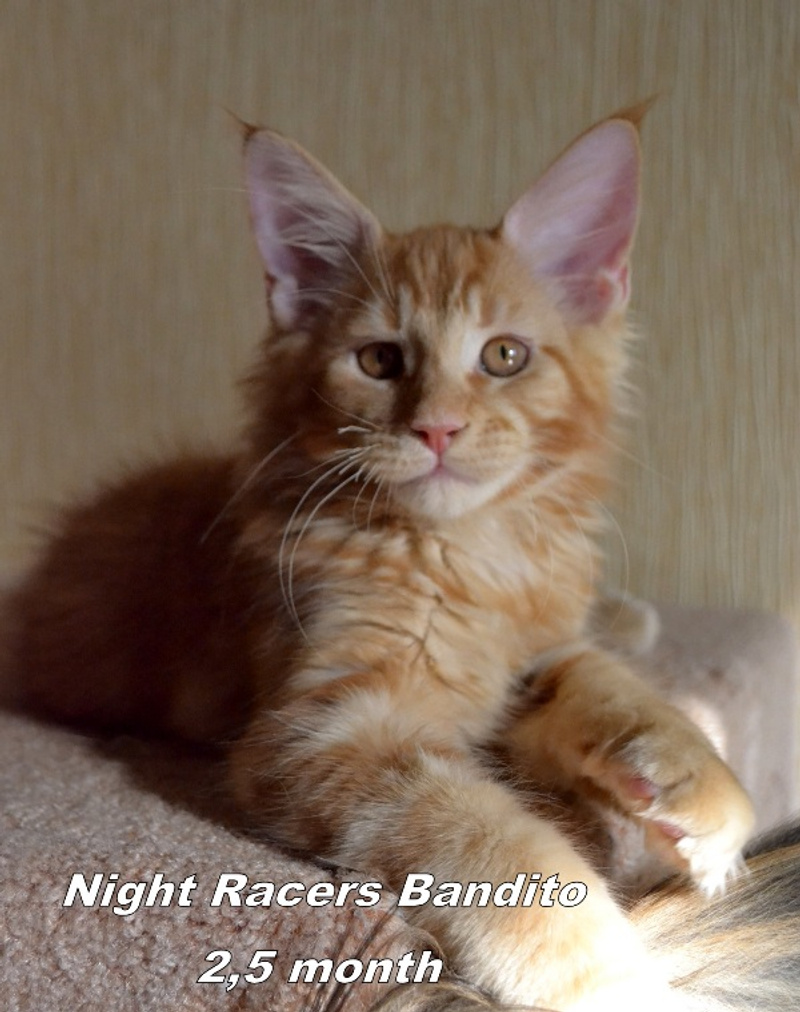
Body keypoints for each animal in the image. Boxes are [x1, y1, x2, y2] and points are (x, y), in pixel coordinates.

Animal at [2, 106, 795, 1012]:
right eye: (379, 360)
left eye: (505, 357)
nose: (438, 427)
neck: (470, 555)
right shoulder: (328, 728)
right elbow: (497, 847)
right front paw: (608, 977)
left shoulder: (530, 648)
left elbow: (604, 680)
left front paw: (700, 782)